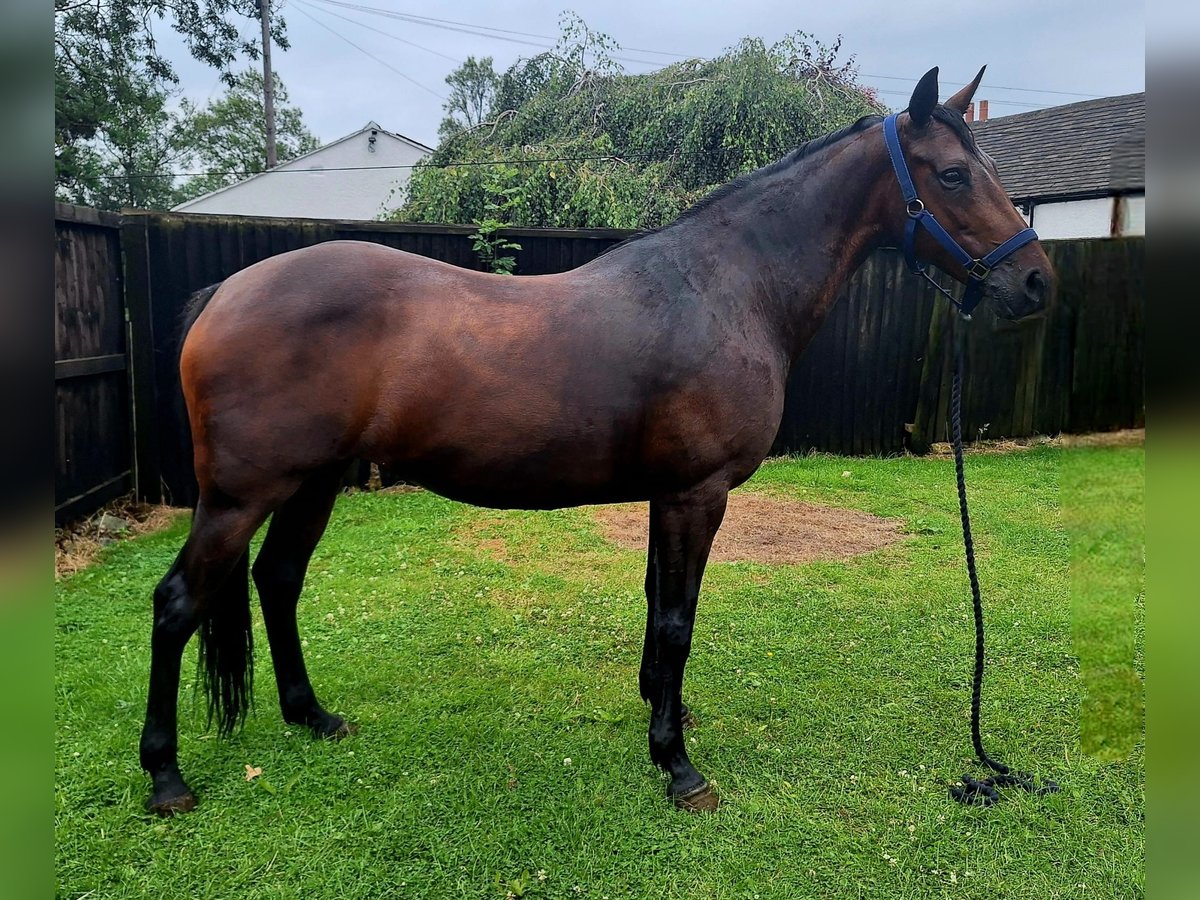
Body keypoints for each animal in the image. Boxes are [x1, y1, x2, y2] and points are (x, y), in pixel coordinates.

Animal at [140, 68, 1051, 816]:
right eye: (954, 174)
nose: (1036, 281)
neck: (724, 289)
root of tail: (228, 290)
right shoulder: (696, 492)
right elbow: (679, 617)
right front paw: (678, 766)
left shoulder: (665, 492)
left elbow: (655, 603)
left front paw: (663, 710)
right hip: (240, 497)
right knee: (179, 603)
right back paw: (166, 778)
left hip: (313, 484)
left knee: (277, 580)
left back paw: (312, 716)